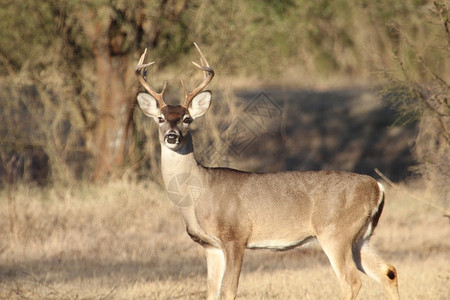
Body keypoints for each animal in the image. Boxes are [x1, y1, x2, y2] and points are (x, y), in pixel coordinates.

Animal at [135, 42, 400, 300]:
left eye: (187, 119)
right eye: (160, 118)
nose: (172, 136)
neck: (197, 194)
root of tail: (377, 187)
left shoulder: (235, 236)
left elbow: (229, 290)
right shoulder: (211, 247)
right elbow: (211, 292)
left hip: (336, 232)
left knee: (351, 282)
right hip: (360, 237)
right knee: (388, 271)